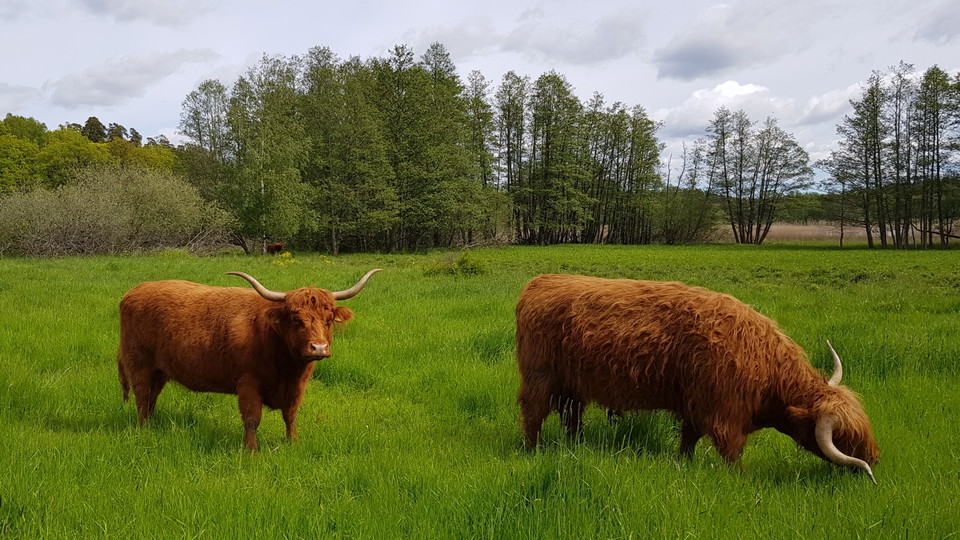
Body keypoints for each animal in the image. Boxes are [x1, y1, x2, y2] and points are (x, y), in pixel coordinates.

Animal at [117, 268, 381, 450]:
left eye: (328, 320)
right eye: (297, 320)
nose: (318, 348)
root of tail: (134, 291)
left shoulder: (297, 386)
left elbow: (291, 414)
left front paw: (292, 442)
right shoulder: (249, 383)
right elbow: (252, 418)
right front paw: (251, 450)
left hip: (160, 371)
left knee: (151, 398)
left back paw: (151, 425)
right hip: (139, 364)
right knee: (142, 397)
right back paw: (144, 430)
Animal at [515, 274, 879, 483]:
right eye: (844, 437)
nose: (873, 458)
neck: (765, 366)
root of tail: (541, 280)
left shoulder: (695, 405)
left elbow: (688, 439)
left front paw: (683, 463)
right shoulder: (724, 414)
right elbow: (732, 452)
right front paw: (739, 480)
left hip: (572, 387)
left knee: (571, 418)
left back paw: (574, 447)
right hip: (540, 378)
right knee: (533, 415)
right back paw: (534, 452)